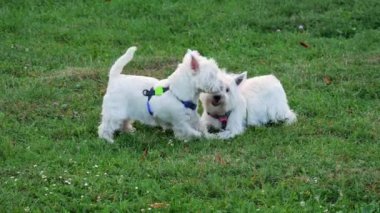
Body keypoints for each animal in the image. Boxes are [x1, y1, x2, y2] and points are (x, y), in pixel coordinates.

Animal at [98, 46, 226, 143]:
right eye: (212, 76)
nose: (222, 87)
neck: (178, 92)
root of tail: (114, 77)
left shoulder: (193, 117)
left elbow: (202, 127)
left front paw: (211, 137)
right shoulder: (180, 121)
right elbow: (191, 132)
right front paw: (197, 137)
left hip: (125, 111)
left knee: (124, 121)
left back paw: (129, 131)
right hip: (115, 112)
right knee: (105, 127)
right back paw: (108, 140)